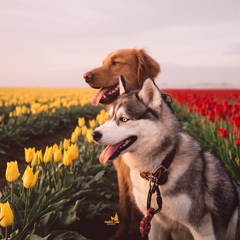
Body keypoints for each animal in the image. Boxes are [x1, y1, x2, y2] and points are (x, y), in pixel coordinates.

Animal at [92, 78, 238, 239]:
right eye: (110, 117)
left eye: (124, 119)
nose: (94, 134)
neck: (159, 169)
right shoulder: (154, 222)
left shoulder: (201, 225)